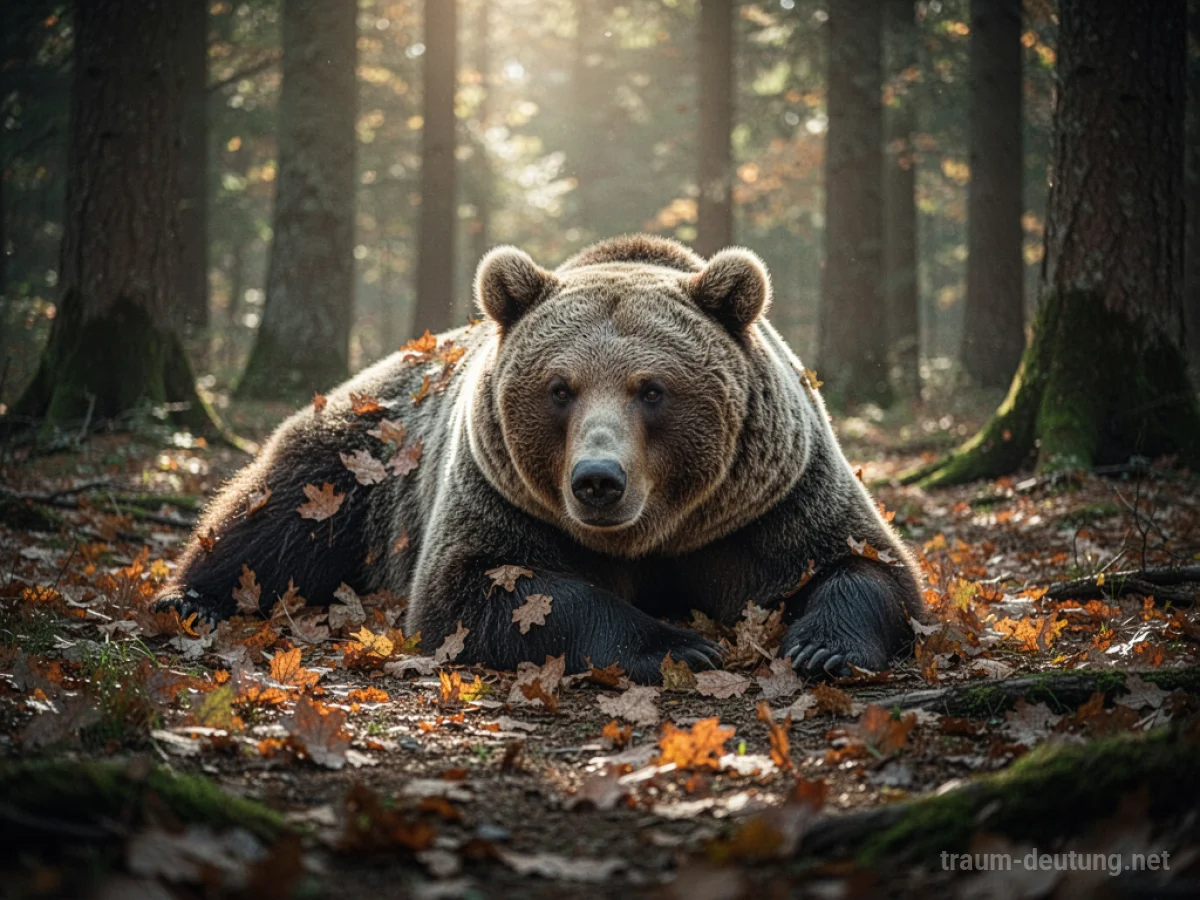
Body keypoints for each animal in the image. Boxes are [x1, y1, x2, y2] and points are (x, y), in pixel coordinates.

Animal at [159, 235, 921, 683]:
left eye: (652, 389)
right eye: (561, 388)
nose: (598, 481)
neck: (653, 533)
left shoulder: (765, 500)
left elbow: (861, 561)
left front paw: (823, 646)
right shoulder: (496, 494)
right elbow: (488, 591)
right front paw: (676, 644)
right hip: (363, 460)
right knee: (274, 523)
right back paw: (189, 598)